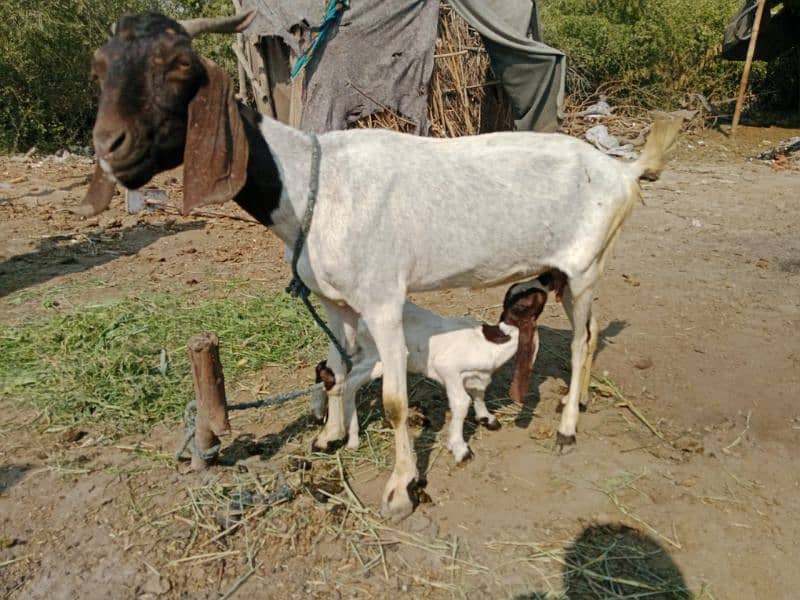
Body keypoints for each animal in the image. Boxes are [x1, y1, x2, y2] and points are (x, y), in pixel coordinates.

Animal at [86, 12, 680, 520]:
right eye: (101, 66)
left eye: (178, 67)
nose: (109, 145)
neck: (311, 184)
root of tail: (624, 171)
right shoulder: (335, 301)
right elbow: (337, 370)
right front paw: (330, 437)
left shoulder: (383, 299)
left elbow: (394, 401)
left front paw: (400, 489)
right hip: (570, 273)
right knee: (594, 331)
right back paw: (579, 402)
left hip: (584, 267)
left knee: (581, 342)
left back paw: (567, 428)